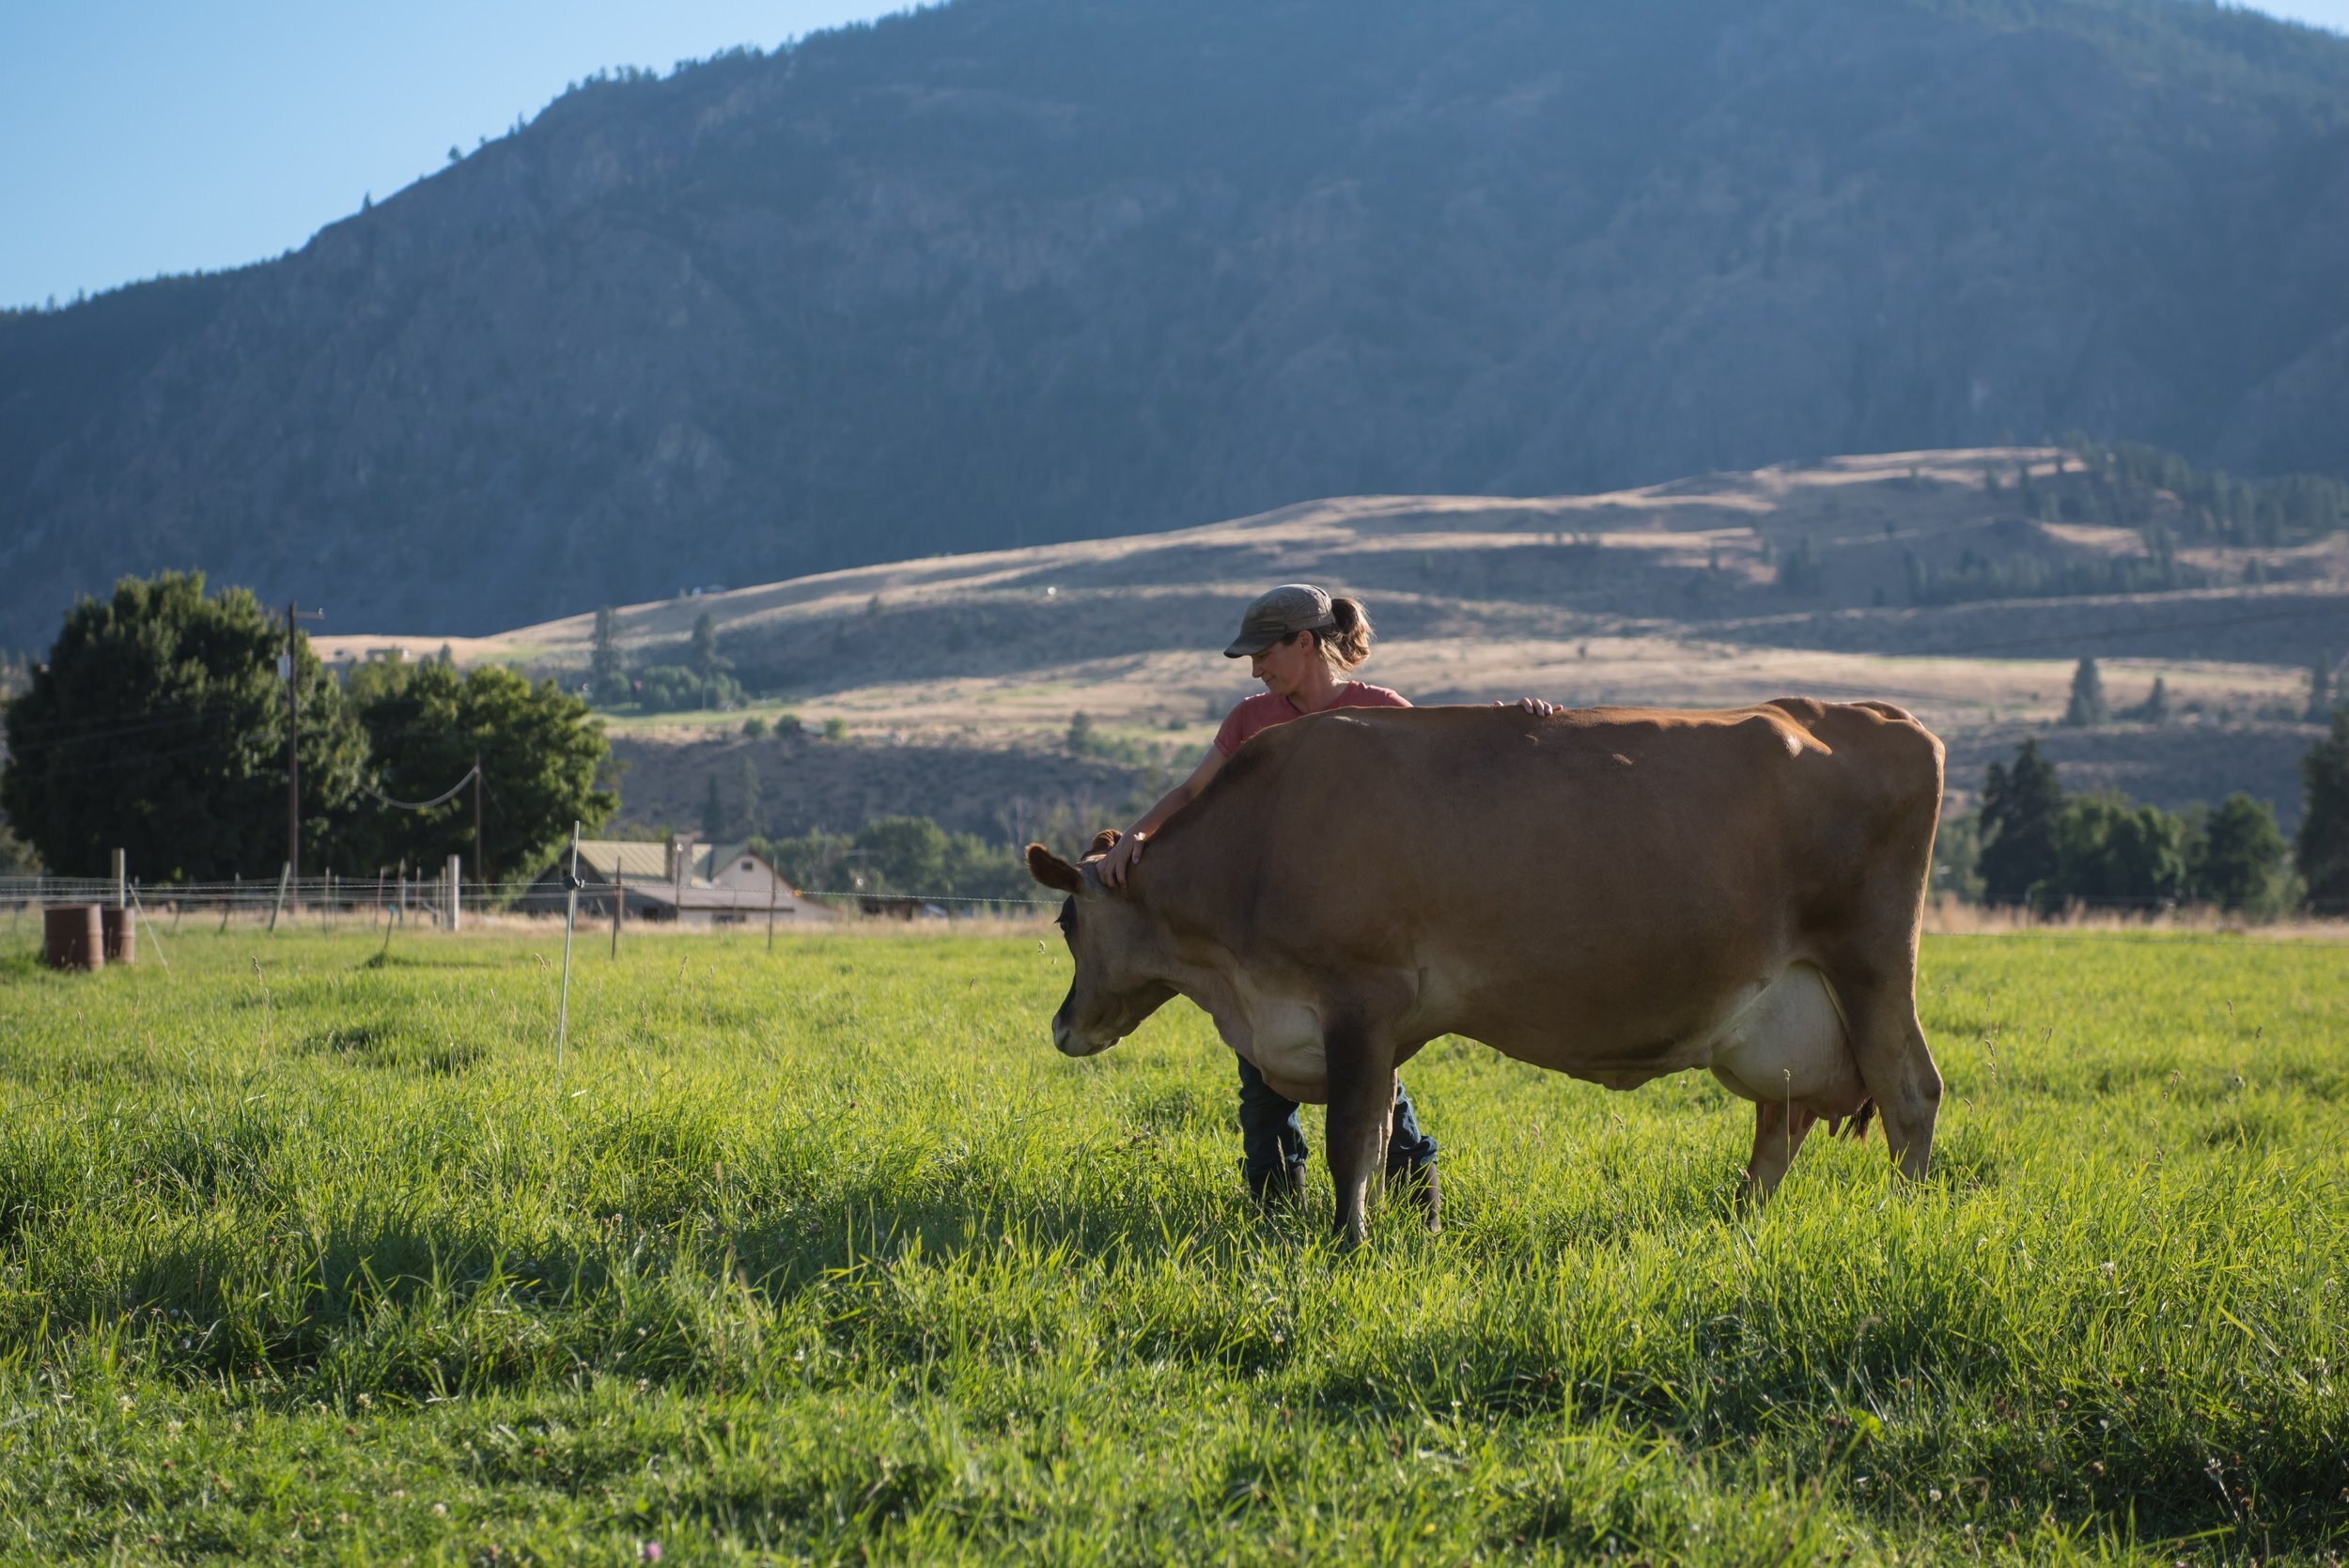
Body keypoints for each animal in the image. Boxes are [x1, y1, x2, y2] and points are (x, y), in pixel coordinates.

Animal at [1025, 698, 1945, 1246]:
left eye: (1067, 920)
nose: (1063, 1025)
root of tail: (1871, 711)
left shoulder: (1360, 998)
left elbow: (1350, 1138)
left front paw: (1349, 1243)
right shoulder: (1367, 1026)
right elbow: (1377, 1140)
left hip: (1872, 965)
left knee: (1910, 1092)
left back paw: (1902, 1220)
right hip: (1785, 1012)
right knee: (1779, 1123)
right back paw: (1736, 1221)